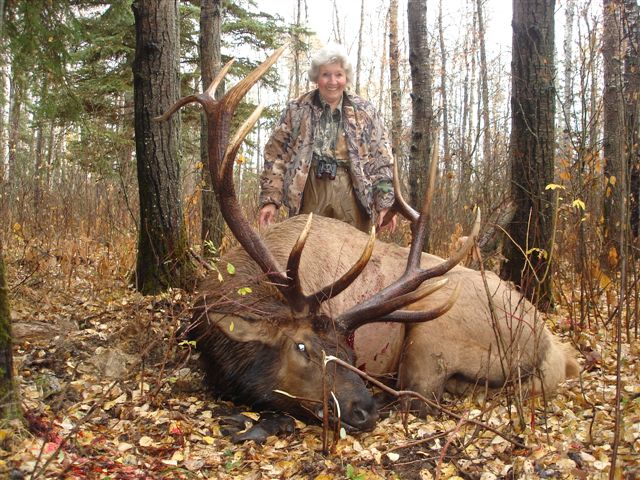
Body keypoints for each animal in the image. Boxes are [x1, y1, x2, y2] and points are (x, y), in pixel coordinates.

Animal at [157, 46, 579, 432]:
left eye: (349, 349)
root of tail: (548, 343)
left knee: (420, 396)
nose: (364, 410)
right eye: (302, 347)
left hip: (433, 335)